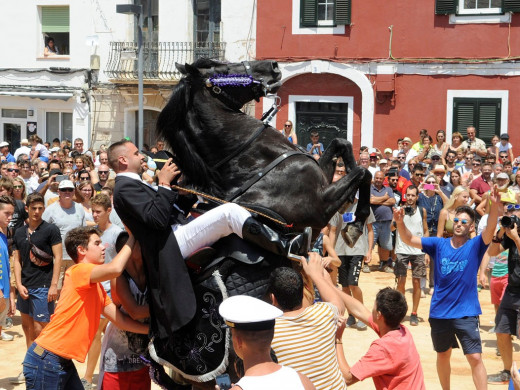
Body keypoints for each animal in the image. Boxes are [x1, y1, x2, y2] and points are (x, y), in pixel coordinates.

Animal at [152, 59, 372, 388]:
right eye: (222, 67)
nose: (272, 66)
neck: (253, 161)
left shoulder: (323, 180)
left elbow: (342, 143)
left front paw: (354, 215)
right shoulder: (319, 208)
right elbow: (363, 173)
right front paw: (356, 221)